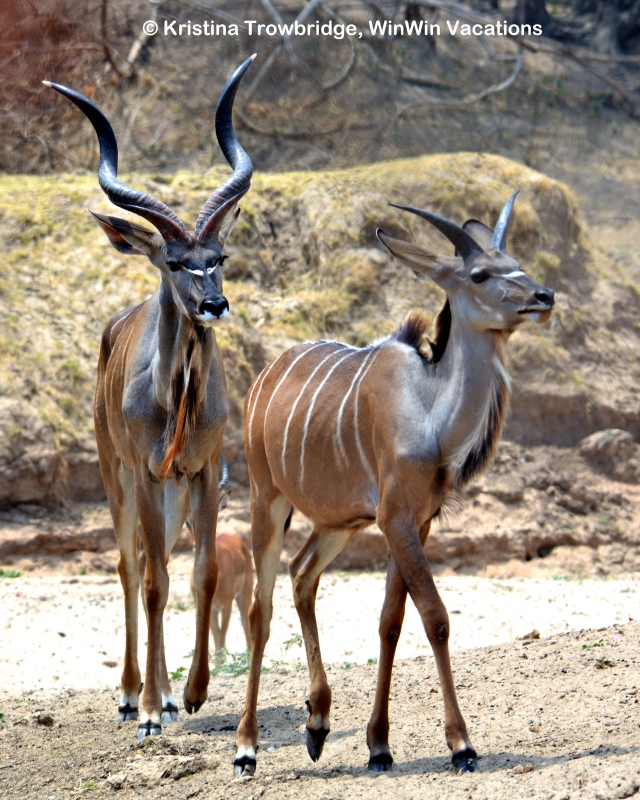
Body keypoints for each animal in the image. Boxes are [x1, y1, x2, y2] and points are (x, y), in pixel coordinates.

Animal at [44, 54, 255, 740]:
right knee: (133, 566)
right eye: (173, 262)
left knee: (160, 565)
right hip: (118, 477)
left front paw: (191, 693)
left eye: (218, 256)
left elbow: (203, 572)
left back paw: (161, 696)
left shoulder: (203, 470)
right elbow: (155, 579)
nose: (213, 304)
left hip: (168, 491)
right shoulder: (142, 470)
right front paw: (147, 708)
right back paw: (134, 696)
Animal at [234, 194, 555, 775]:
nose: (545, 296)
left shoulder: (414, 522)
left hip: (337, 523)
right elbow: (435, 617)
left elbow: (390, 621)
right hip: (266, 499)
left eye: (515, 261)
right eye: (480, 274)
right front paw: (461, 744)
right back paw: (246, 749)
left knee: (302, 574)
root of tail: (262, 381)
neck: (429, 411)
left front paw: (379, 746)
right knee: (259, 609)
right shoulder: (395, 519)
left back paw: (318, 722)